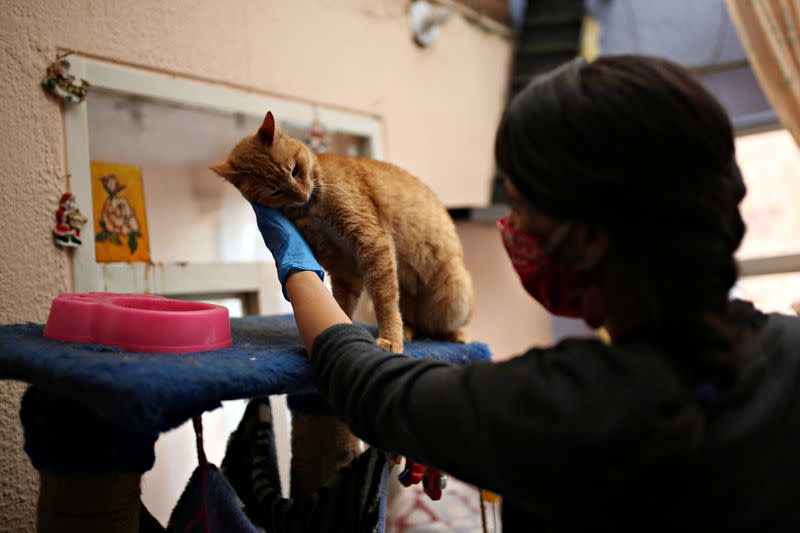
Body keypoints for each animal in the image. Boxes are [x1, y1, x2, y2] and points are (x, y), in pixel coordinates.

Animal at [212, 111, 476, 354]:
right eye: (275, 191)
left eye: (295, 170)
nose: (301, 194)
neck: (313, 207)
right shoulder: (343, 266)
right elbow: (341, 303)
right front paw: (340, 325)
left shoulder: (373, 243)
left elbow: (386, 301)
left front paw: (390, 338)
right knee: (418, 325)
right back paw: (409, 331)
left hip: (454, 292)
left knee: (440, 327)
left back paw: (455, 335)